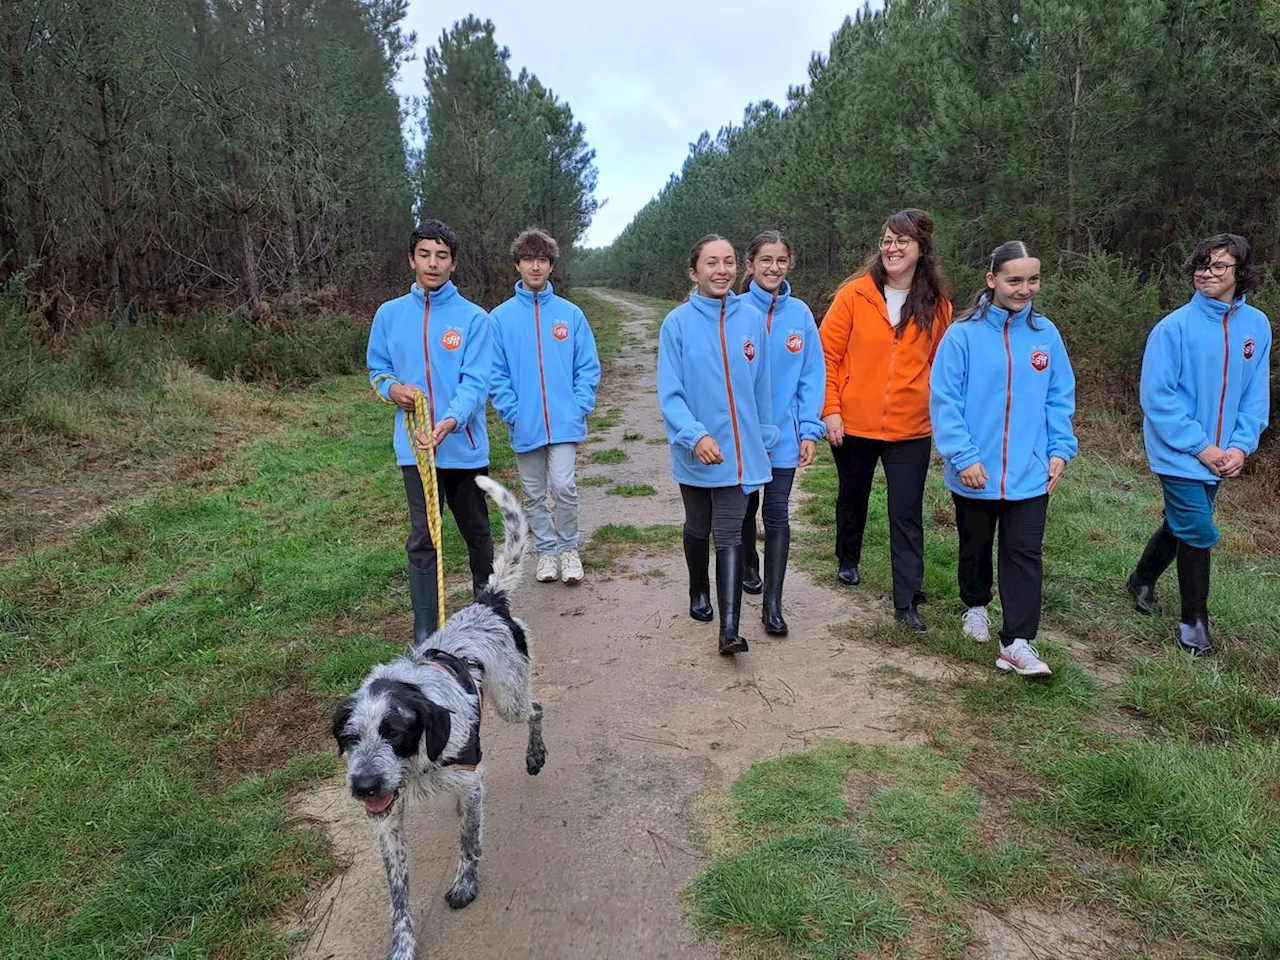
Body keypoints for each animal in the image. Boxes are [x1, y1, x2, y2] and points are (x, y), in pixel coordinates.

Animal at [330, 478, 545, 960]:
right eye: (350, 738)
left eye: (394, 731)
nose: (364, 786)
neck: (415, 765)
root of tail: (488, 602)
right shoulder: (388, 821)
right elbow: (399, 893)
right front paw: (403, 944)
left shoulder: (468, 776)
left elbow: (469, 843)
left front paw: (466, 885)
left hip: (509, 700)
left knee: (537, 709)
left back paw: (535, 755)